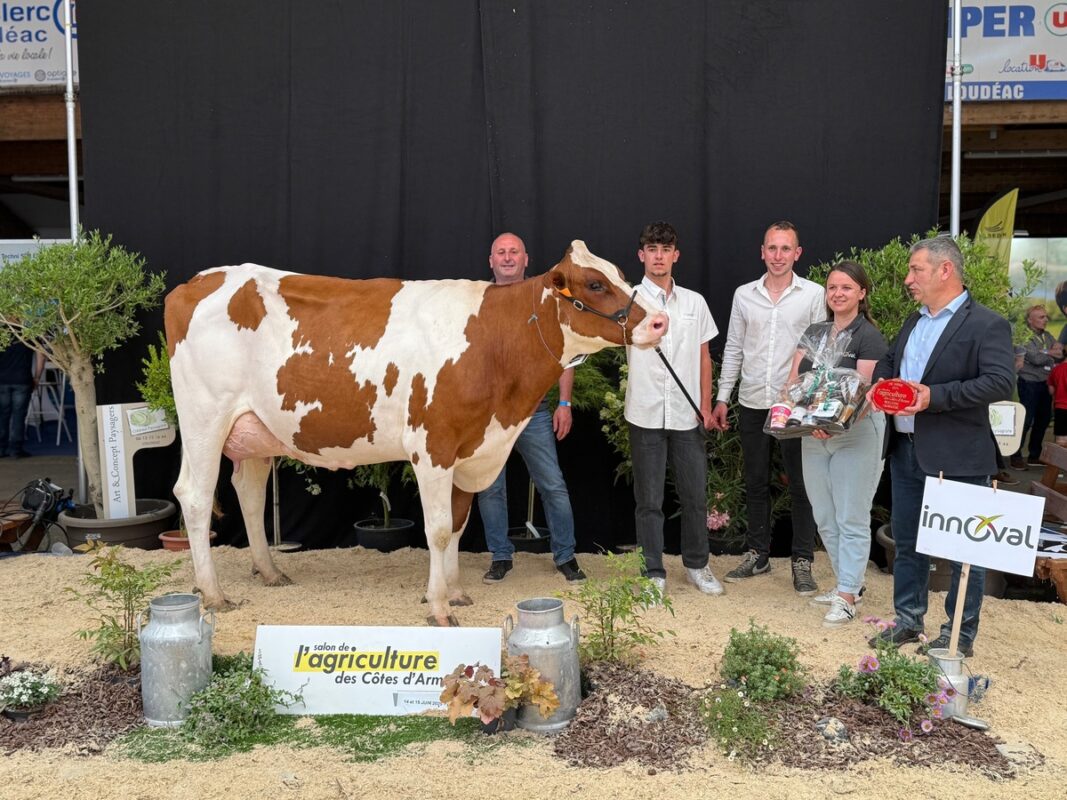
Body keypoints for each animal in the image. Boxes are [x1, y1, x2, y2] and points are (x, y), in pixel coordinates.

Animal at [164, 240, 668, 625]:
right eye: (595, 284)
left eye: (621, 273)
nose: (658, 322)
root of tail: (198, 281)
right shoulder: (434, 446)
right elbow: (439, 529)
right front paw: (440, 607)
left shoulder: (469, 449)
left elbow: (460, 523)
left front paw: (454, 591)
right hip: (204, 417)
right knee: (194, 496)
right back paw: (213, 594)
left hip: (255, 429)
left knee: (247, 494)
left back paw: (269, 572)